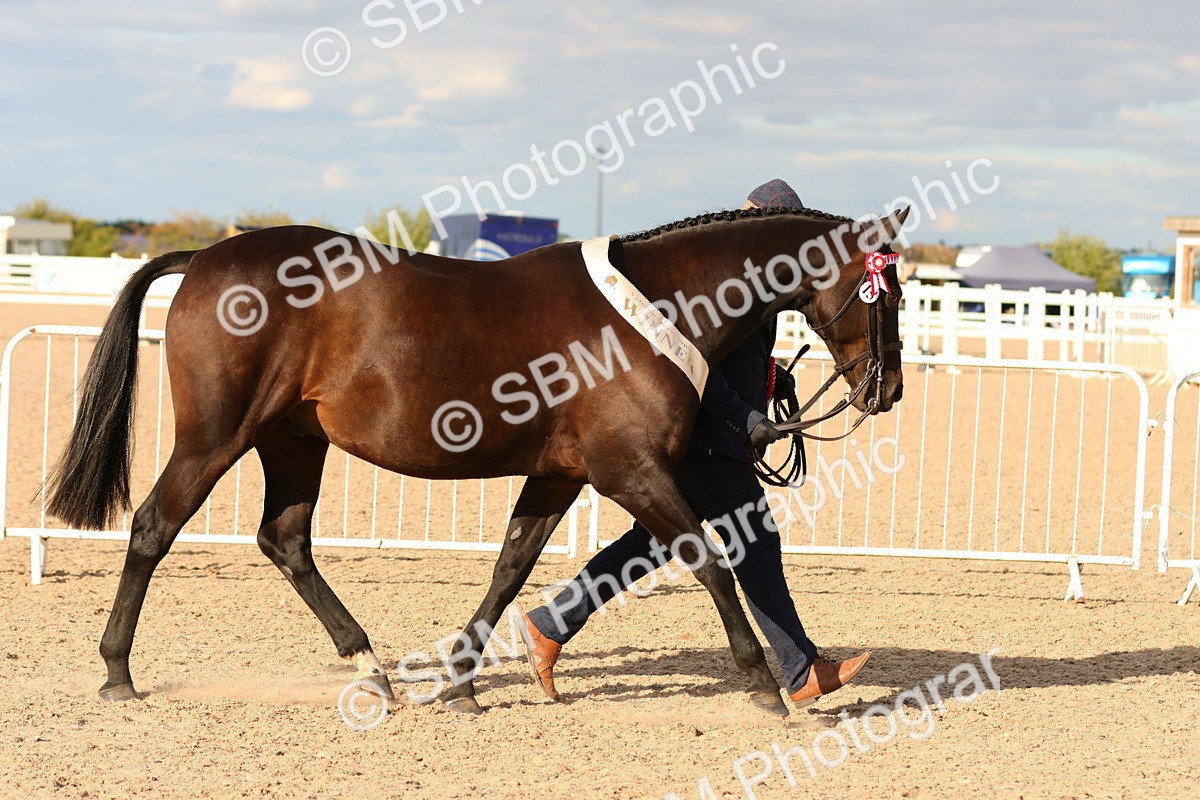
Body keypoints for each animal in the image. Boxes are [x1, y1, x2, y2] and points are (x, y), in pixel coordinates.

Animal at [47, 204, 907, 716]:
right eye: (887, 292)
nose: (888, 388)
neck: (655, 306)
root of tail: (201, 260)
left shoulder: (561, 474)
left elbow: (510, 568)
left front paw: (462, 683)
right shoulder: (629, 472)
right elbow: (710, 562)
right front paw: (764, 683)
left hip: (293, 441)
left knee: (284, 540)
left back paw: (371, 668)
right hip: (216, 437)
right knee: (153, 527)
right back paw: (118, 672)